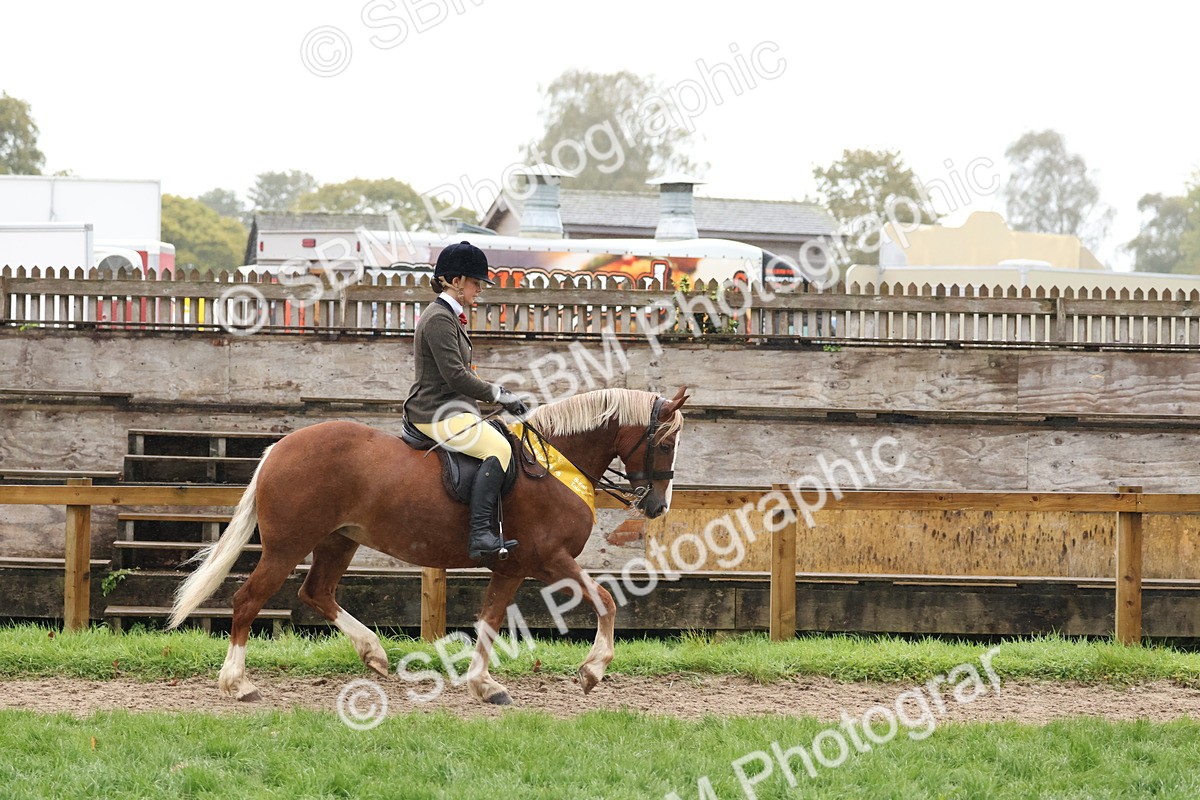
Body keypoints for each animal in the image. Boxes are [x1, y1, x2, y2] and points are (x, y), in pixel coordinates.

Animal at [169, 386, 689, 705]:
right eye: (665, 442)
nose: (658, 505)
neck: (555, 465)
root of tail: (280, 447)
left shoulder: (511, 567)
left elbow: (489, 621)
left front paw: (484, 686)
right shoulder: (548, 559)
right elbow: (605, 600)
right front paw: (593, 671)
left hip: (339, 542)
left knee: (316, 592)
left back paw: (373, 653)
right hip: (286, 546)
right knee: (247, 600)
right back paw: (237, 684)